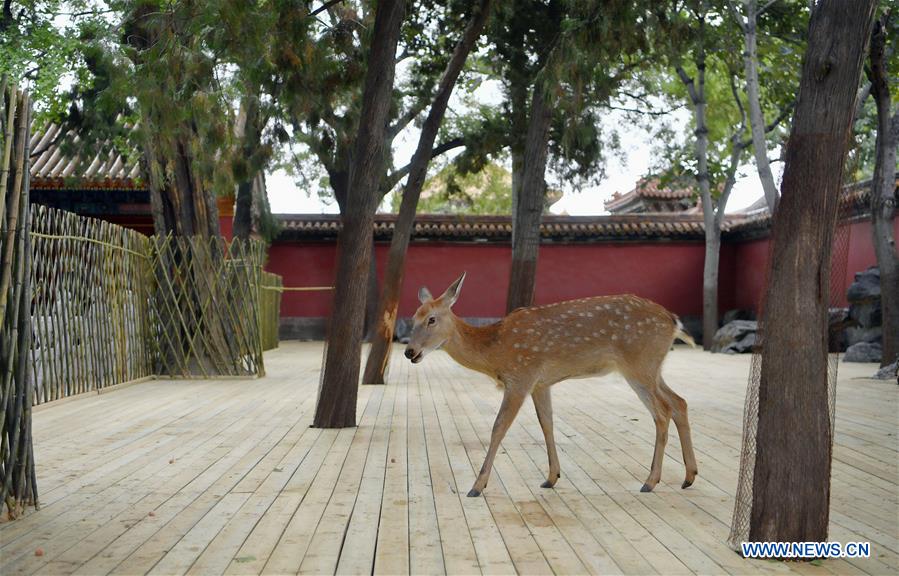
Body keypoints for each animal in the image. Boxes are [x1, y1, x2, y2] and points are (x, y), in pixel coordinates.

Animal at [404, 272, 698, 497]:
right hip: (652, 368)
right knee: (679, 402)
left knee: (662, 411)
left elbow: (499, 427)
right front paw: (551, 477)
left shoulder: (521, 376)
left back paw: (650, 481)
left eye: (431, 319)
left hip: (638, 364)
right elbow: (547, 422)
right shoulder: (540, 382)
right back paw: (689, 476)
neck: (496, 351)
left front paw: (477, 486)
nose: (409, 351)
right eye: (412, 319)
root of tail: (673, 320)